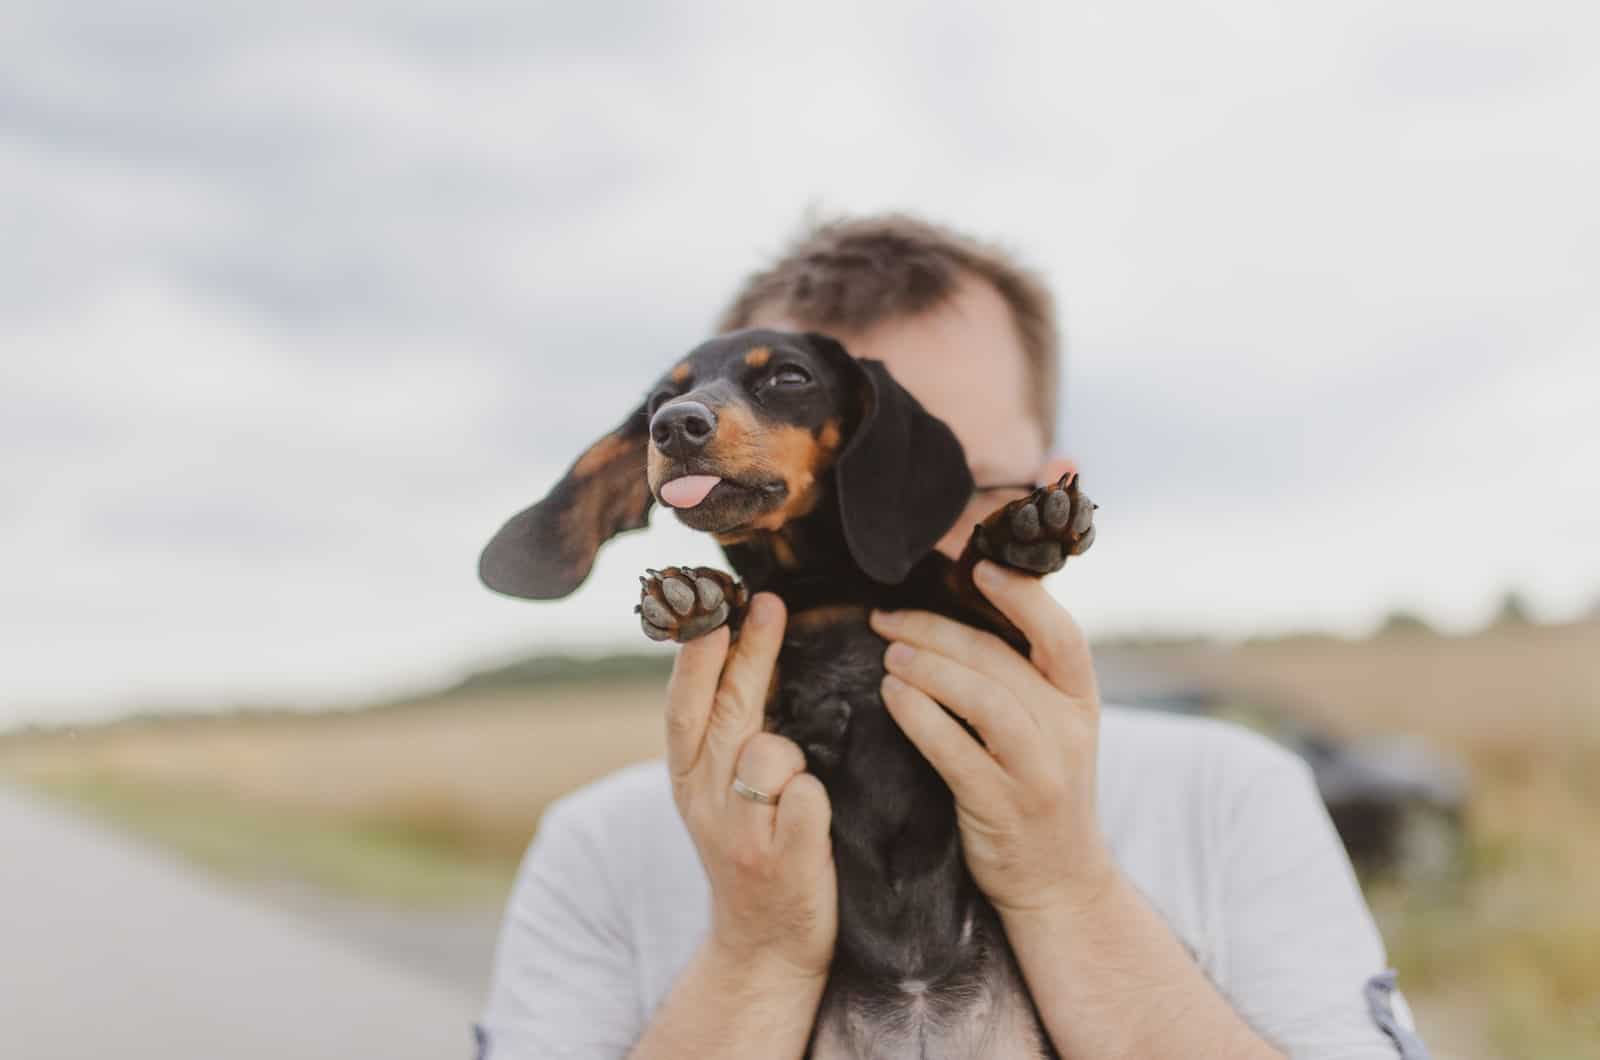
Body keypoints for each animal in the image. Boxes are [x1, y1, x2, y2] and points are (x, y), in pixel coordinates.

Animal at [480, 328, 1094, 1056]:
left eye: (789, 378)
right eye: (659, 397)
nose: (674, 426)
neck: (827, 585)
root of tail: (917, 1002)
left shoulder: (1000, 652)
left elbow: (976, 588)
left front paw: (1020, 530)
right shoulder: (780, 703)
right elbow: (764, 644)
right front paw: (702, 593)